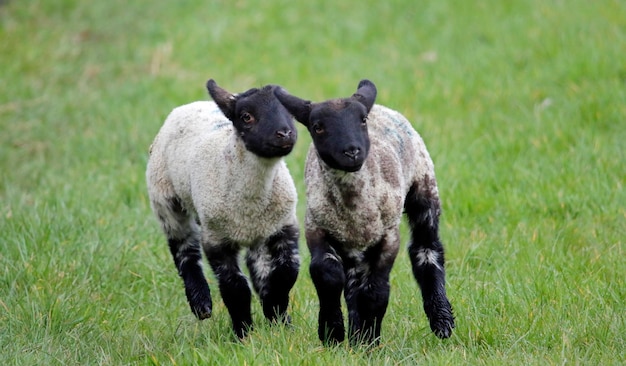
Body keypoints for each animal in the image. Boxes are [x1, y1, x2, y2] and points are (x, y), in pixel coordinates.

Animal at [147, 79, 302, 338]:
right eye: (246, 116)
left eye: (290, 110)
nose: (284, 134)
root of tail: (191, 104)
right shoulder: (216, 239)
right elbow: (234, 288)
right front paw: (243, 332)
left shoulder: (283, 226)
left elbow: (286, 273)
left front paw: (278, 317)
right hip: (164, 196)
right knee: (184, 249)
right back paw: (201, 304)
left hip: (258, 233)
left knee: (257, 264)